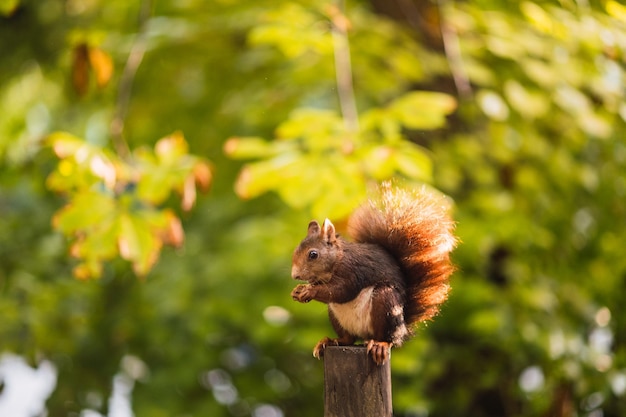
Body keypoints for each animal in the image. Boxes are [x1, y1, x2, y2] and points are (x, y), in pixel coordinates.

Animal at [290, 185, 456, 364]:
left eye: (313, 254)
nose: (295, 275)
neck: (337, 259)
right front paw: (297, 291)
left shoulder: (353, 271)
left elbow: (340, 291)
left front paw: (309, 291)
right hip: (336, 315)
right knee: (348, 339)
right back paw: (329, 341)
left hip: (385, 303)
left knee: (389, 338)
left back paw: (380, 345)